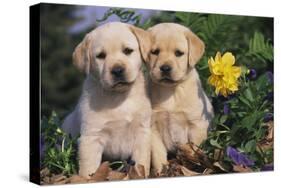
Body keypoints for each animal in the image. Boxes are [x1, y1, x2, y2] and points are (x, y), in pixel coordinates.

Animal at [61, 22, 151, 178]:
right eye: (101, 56)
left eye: (127, 51)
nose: (118, 70)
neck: (118, 97)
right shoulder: (91, 138)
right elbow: (89, 169)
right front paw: (86, 179)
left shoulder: (142, 132)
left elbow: (141, 163)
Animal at [145, 23, 213, 173]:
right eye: (155, 52)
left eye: (178, 53)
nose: (165, 68)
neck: (171, 90)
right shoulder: (153, 128)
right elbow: (158, 154)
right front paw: (161, 172)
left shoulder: (197, 125)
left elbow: (193, 149)